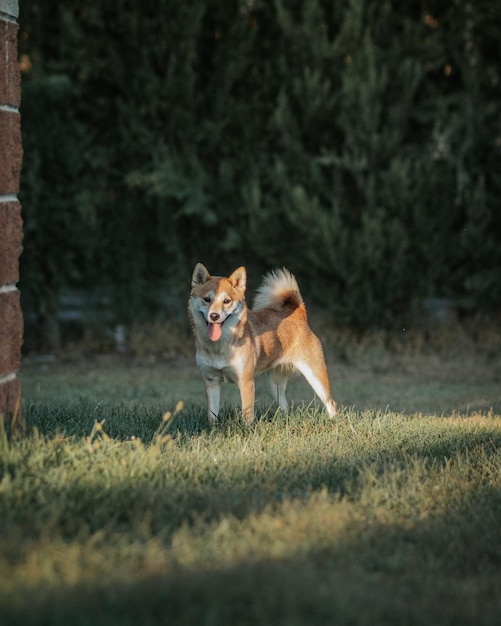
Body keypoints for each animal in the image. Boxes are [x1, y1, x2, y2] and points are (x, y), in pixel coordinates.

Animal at [189, 260, 338, 422]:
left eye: (226, 301)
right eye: (207, 299)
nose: (214, 316)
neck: (219, 346)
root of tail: (298, 314)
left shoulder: (246, 382)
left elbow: (247, 414)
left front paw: (246, 428)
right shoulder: (211, 381)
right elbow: (212, 414)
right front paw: (214, 427)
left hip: (315, 376)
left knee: (331, 403)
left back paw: (332, 422)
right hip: (273, 384)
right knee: (285, 406)